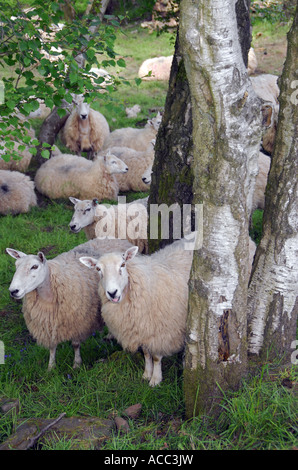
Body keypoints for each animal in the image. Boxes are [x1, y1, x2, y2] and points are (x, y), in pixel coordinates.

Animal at [6, 239, 133, 370]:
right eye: (16, 265)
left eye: (34, 266)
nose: (13, 291)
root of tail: (112, 238)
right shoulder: (48, 324)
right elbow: (52, 346)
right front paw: (51, 366)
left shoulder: (77, 323)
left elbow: (76, 344)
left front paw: (76, 364)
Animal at [80, 239, 194, 386]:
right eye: (98, 269)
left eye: (123, 265)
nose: (112, 293)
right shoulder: (140, 330)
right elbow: (146, 353)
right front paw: (146, 374)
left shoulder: (159, 332)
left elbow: (156, 357)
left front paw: (155, 380)